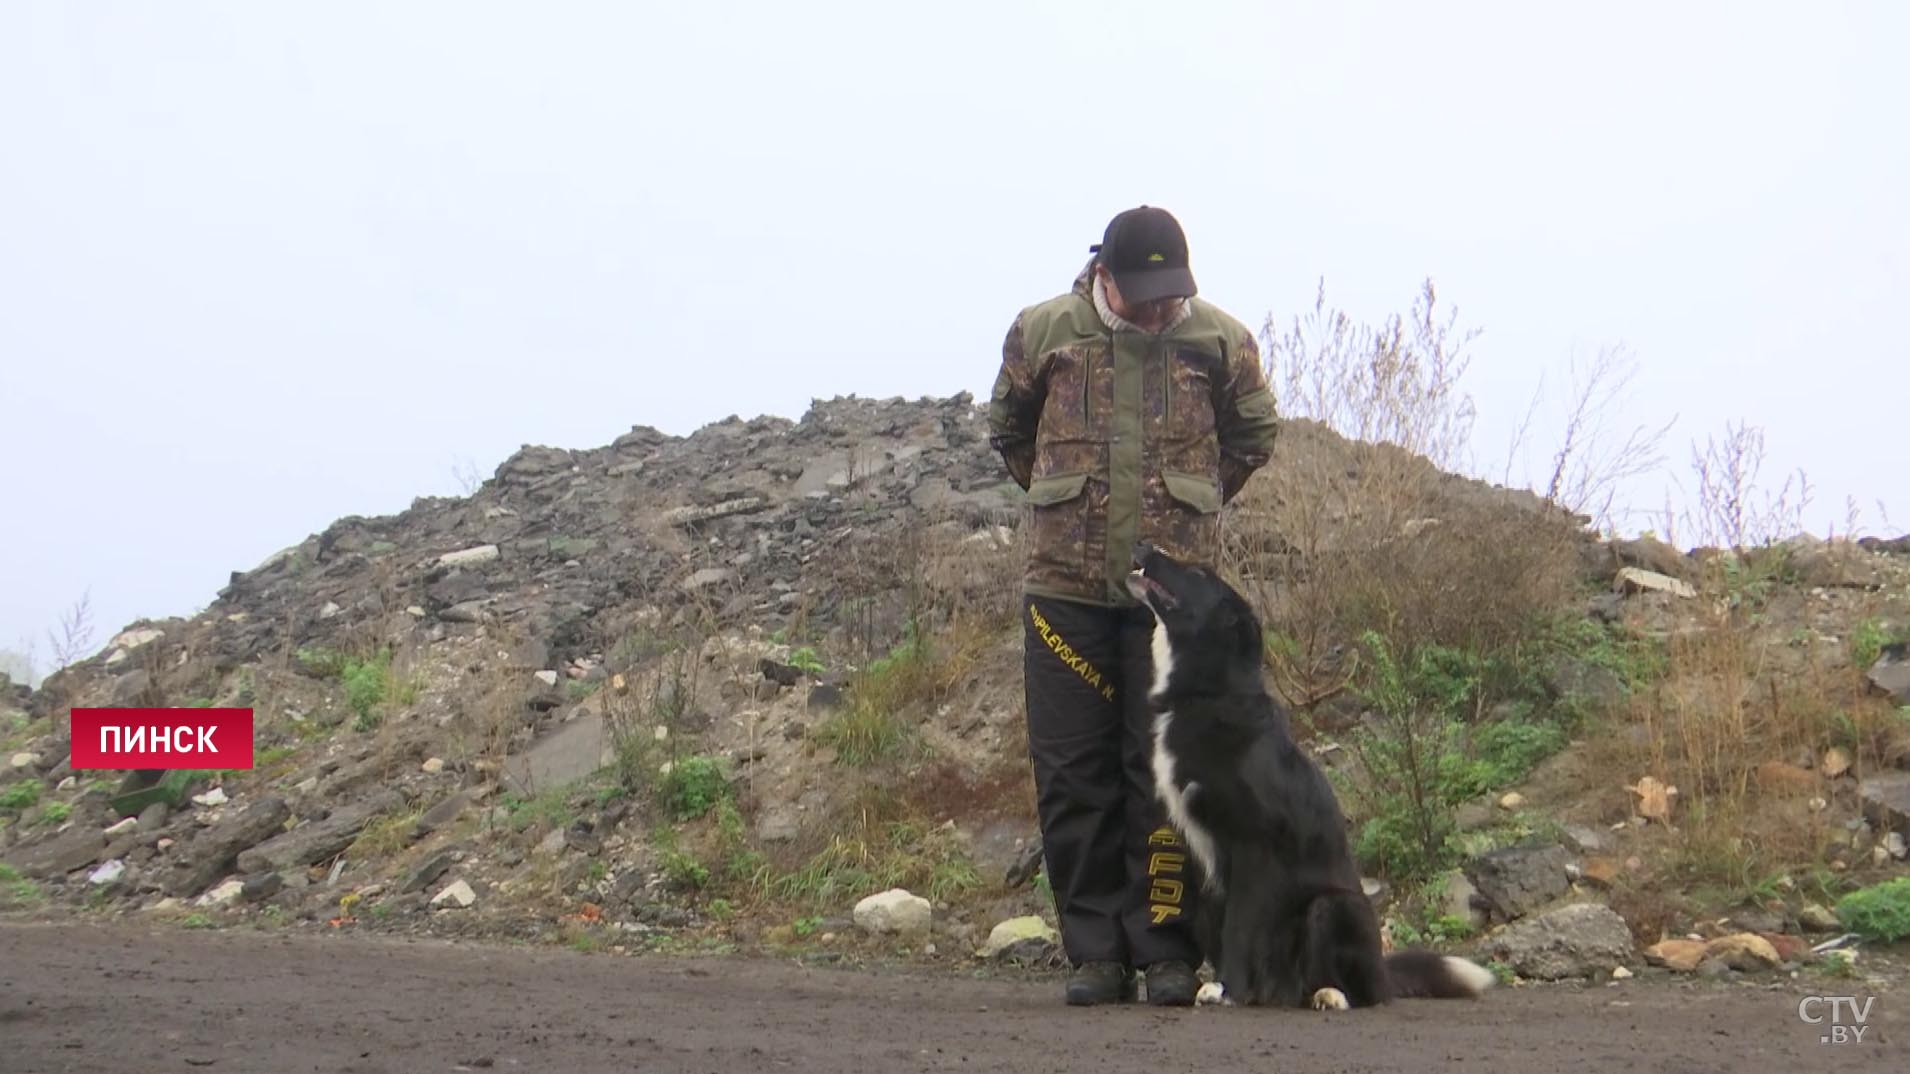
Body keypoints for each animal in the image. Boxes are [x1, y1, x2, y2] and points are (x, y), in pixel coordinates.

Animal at [1115, 538, 1489, 1009]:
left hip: (1330, 908)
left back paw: (1330, 995)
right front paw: (1220, 985)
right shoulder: (1207, 868)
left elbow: (1238, 930)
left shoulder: (1252, 849)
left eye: (1199, 573)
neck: (1208, 693)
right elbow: (1221, 930)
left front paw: (1229, 989)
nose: (1143, 543)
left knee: (1364, 992)